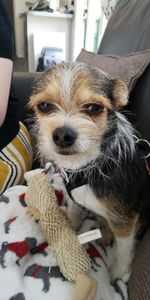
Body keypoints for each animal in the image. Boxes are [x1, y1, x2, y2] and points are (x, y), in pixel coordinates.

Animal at [29, 62, 150, 282]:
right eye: (45, 106)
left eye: (94, 107)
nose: (62, 135)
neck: (87, 166)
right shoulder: (75, 202)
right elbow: (72, 221)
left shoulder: (124, 219)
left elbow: (123, 248)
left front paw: (119, 270)